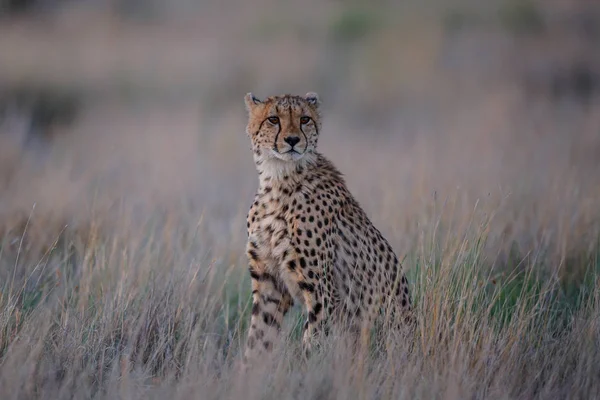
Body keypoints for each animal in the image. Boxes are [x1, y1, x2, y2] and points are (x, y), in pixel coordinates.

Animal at [241, 91, 410, 366]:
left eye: (305, 119)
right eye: (273, 119)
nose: (292, 140)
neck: (278, 178)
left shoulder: (322, 292)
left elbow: (313, 344)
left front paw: (304, 373)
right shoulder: (269, 282)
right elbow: (258, 340)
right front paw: (246, 374)